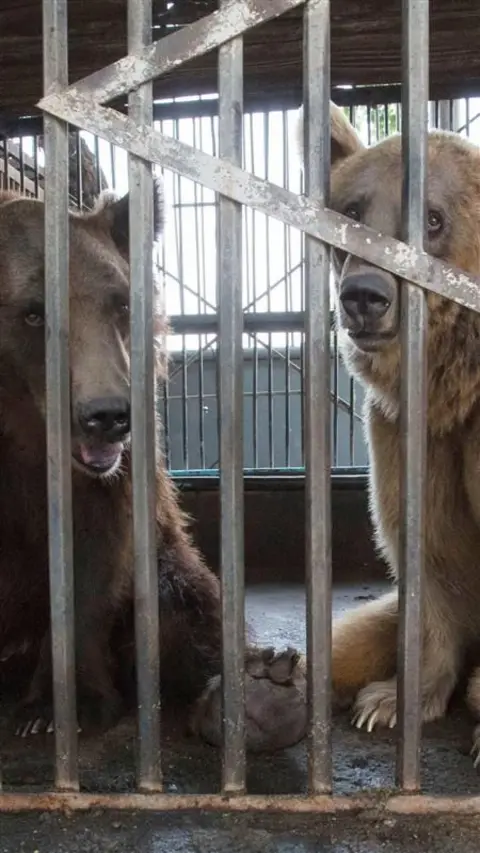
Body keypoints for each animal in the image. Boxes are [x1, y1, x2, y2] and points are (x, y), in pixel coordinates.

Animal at [0, 181, 307, 752]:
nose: (107, 415)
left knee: (187, 603)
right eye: (32, 313)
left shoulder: (111, 476)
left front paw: (63, 708)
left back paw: (259, 695)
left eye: (121, 302)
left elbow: (91, 559)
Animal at [296, 101, 480, 761]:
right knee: (348, 635)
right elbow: (427, 547)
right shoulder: (408, 430)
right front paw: (390, 701)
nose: (365, 296)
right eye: (352, 211)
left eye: (433, 217)